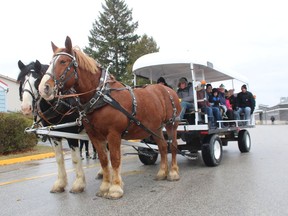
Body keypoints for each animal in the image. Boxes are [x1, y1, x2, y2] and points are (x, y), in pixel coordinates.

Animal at [16, 59, 86, 192]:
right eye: (21, 81)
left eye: (37, 81)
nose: (26, 108)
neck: (60, 103)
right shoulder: (54, 135)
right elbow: (58, 158)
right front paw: (60, 183)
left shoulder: (72, 134)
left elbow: (75, 158)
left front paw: (79, 183)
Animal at [38, 35, 180, 199]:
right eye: (49, 63)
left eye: (63, 61)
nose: (43, 88)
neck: (101, 96)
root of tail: (168, 89)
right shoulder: (94, 135)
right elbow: (104, 160)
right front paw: (105, 186)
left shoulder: (113, 134)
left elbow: (115, 159)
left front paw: (115, 188)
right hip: (155, 127)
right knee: (163, 146)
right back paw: (162, 172)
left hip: (171, 124)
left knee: (173, 146)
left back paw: (173, 172)